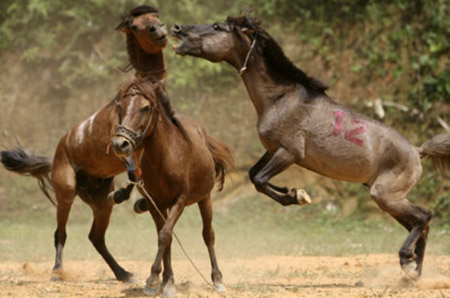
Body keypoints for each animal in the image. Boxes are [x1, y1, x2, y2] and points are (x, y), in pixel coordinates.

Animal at [110, 77, 234, 296]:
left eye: (145, 108)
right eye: (120, 107)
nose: (120, 144)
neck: (164, 158)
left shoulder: (180, 200)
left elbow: (165, 235)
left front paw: (153, 280)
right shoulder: (156, 203)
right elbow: (165, 237)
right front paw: (165, 281)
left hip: (205, 199)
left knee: (208, 235)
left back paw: (217, 279)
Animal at [171, 15, 450, 278]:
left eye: (217, 27)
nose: (177, 28)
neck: (281, 98)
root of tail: (417, 150)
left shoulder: (289, 153)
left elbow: (260, 180)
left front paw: (297, 196)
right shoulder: (272, 150)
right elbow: (253, 176)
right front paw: (294, 192)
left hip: (385, 195)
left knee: (424, 217)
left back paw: (406, 260)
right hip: (390, 199)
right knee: (420, 225)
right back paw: (413, 274)